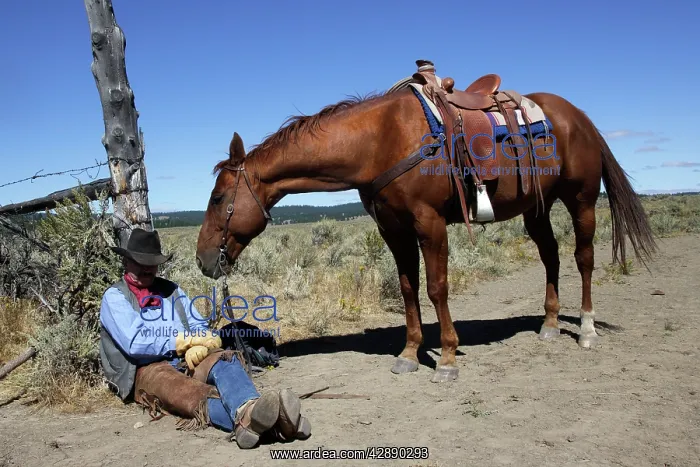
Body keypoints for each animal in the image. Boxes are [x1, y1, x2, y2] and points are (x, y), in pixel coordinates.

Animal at [195, 69, 657, 383]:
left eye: (218, 199)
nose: (202, 259)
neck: (380, 141)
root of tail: (580, 117)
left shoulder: (430, 223)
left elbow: (437, 288)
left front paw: (448, 358)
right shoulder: (393, 230)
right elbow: (407, 288)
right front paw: (410, 353)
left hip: (581, 200)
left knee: (584, 258)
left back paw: (587, 330)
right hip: (536, 210)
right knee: (551, 257)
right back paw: (548, 325)